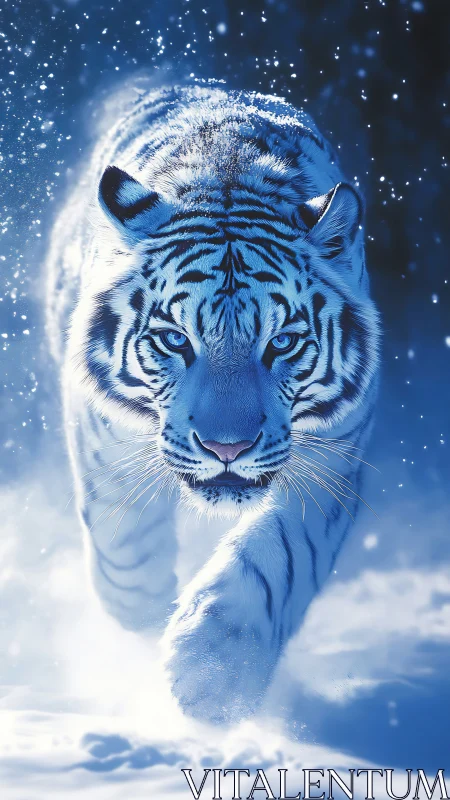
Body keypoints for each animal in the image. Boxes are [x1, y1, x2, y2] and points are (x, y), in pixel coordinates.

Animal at [46, 84, 380, 724]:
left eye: (282, 343)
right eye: (176, 340)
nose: (228, 448)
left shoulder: (334, 454)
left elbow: (281, 554)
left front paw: (213, 671)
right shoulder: (104, 433)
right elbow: (124, 545)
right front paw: (142, 616)